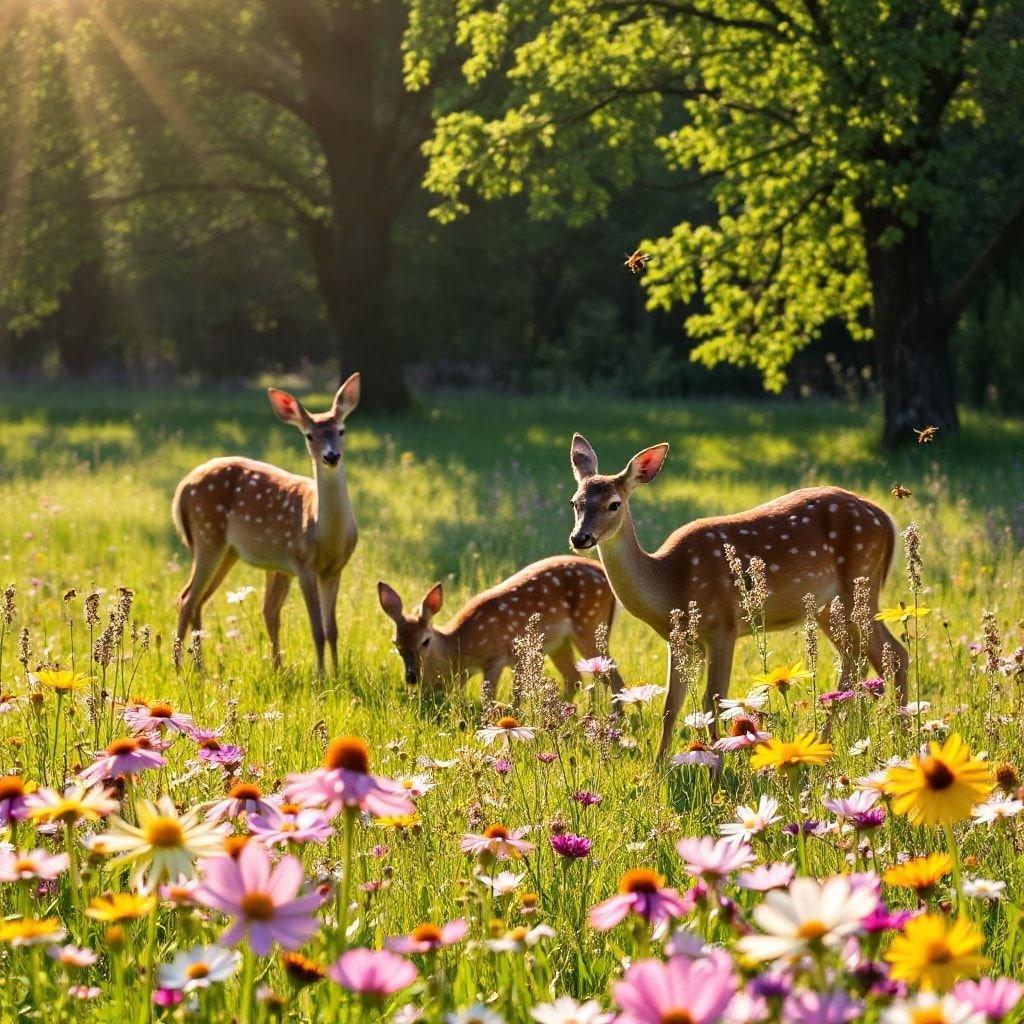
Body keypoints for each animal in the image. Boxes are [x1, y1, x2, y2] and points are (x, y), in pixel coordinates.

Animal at [176, 374, 364, 671]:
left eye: (342, 430)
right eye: (309, 435)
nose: (331, 456)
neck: (325, 534)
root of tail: (182, 488)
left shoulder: (334, 569)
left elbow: (332, 629)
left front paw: (337, 673)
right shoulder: (303, 564)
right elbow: (317, 629)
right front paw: (322, 676)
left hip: (227, 551)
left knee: (198, 600)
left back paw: (201, 668)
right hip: (207, 534)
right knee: (186, 598)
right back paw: (180, 667)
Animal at [376, 557, 622, 708]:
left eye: (425, 641)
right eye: (396, 643)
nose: (412, 677)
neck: (461, 648)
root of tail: (604, 574)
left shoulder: (496, 657)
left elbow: (488, 696)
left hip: (588, 623)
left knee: (612, 676)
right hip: (559, 642)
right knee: (574, 678)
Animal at [569, 432, 913, 761]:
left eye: (614, 504)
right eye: (575, 502)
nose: (579, 537)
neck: (670, 584)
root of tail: (886, 518)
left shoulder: (723, 625)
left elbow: (713, 701)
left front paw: (717, 768)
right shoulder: (680, 640)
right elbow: (670, 705)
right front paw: (658, 770)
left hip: (861, 583)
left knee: (894, 654)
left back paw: (902, 737)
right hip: (827, 606)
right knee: (857, 660)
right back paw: (829, 745)